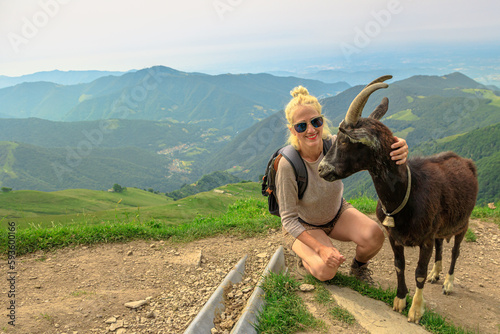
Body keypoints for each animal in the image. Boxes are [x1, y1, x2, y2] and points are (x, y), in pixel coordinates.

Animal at [318, 76, 478, 324]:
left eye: (344, 141)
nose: (321, 169)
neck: (405, 196)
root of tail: (466, 162)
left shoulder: (425, 239)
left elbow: (419, 272)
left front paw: (416, 310)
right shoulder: (394, 237)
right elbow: (399, 266)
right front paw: (399, 300)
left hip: (463, 223)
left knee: (455, 251)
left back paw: (448, 283)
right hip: (440, 228)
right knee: (442, 245)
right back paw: (436, 274)